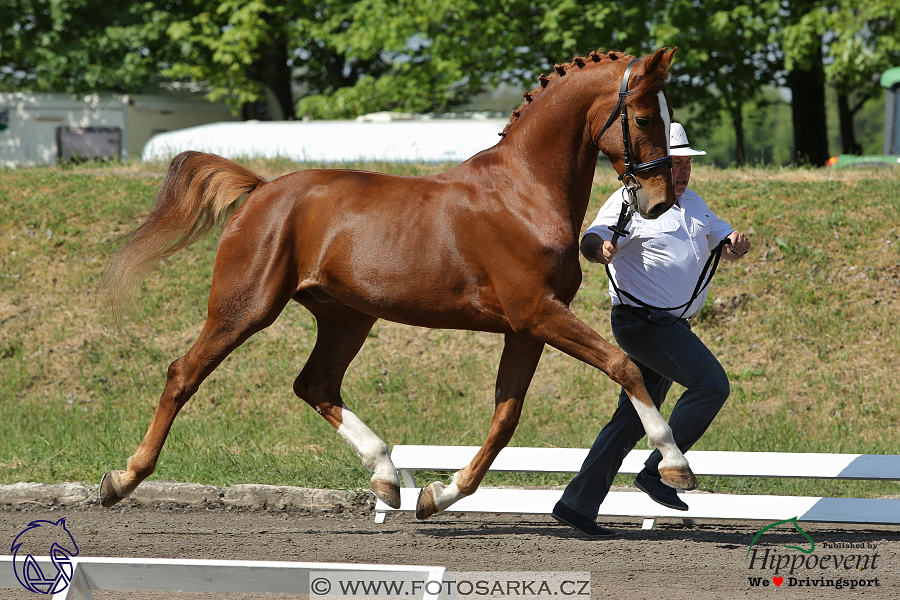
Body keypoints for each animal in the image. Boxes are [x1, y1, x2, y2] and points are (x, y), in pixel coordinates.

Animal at [98, 47, 696, 516]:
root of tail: (262, 189)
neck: (525, 192)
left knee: (315, 385)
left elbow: (506, 417)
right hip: (245, 307)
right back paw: (122, 480)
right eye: (645, 118)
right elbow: (622, 365)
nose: (658, 202)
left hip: (346, 317)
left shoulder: (526, 328)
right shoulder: (539, 313)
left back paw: (386, 476)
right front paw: (676, 465)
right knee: (184, 374)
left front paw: (440, 494)